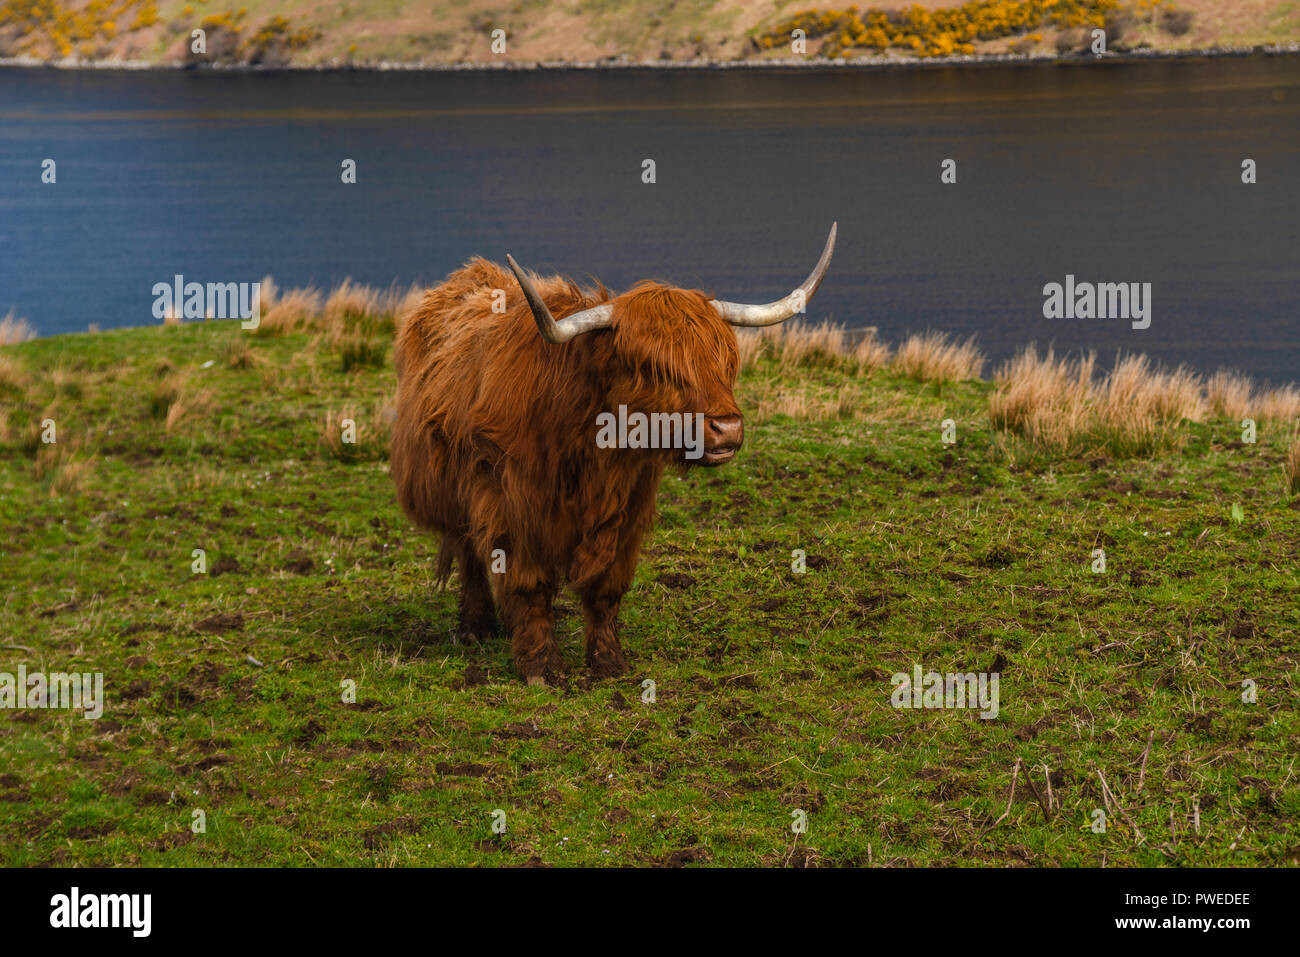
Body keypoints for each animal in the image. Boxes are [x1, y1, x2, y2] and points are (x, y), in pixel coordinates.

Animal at [390, 225, 836, 684]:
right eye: (655, 368)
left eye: (724, 360)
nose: (727, 428)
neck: (593, 448)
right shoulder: (513, 504)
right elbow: (530, 585)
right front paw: (541, 666)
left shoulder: (628, 509)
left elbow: (606, 587)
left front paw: (608, 662)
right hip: (449, 486)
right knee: (469, 553)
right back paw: (476, 627)